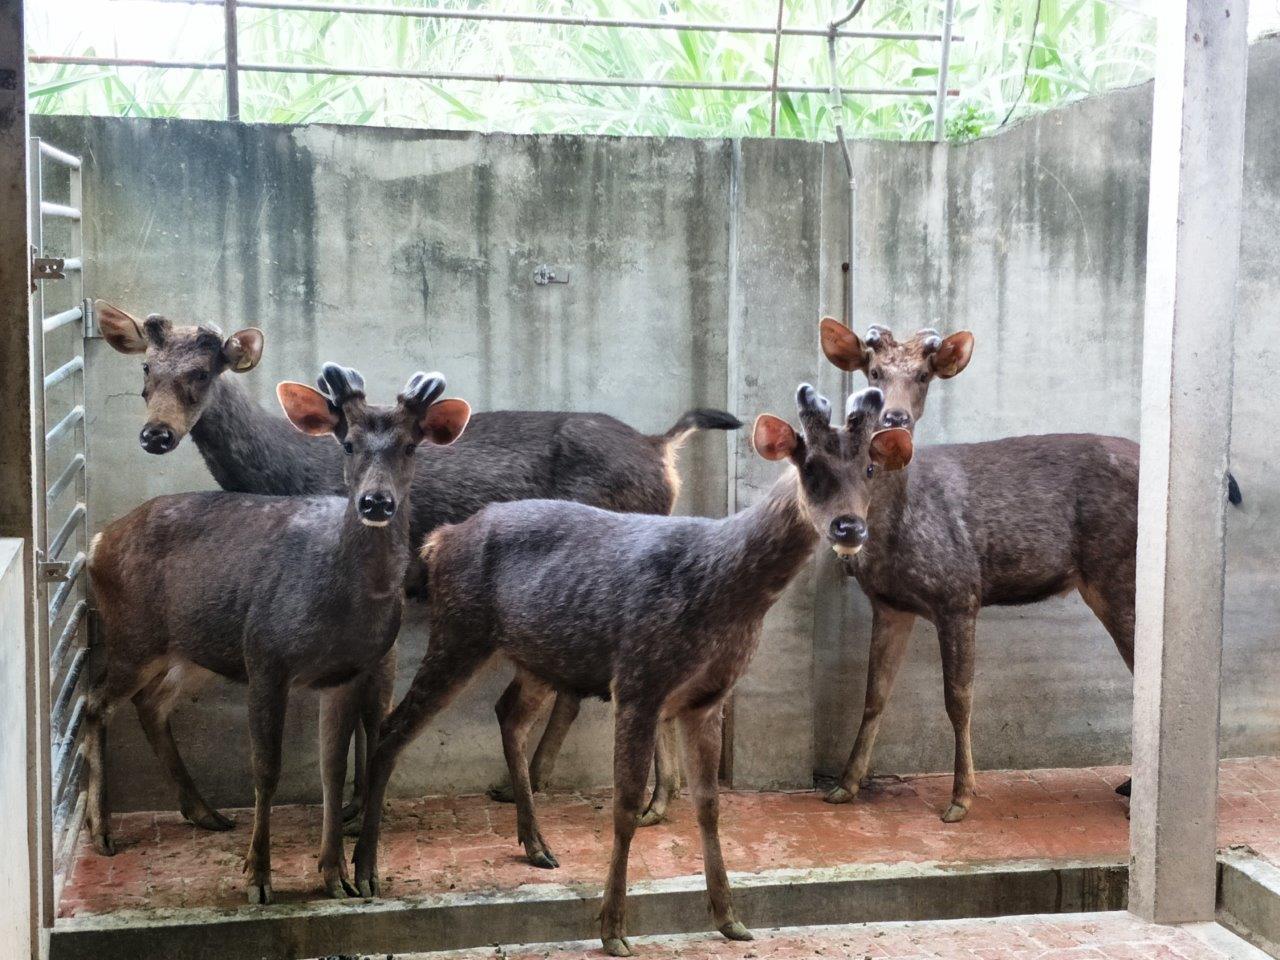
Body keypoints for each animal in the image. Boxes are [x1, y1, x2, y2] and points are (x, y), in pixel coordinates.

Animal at [82, 366, 471, 901]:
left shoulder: (344, 673)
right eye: (347, 443)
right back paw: (101, 830)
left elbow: (332, 769)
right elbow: (266, 769)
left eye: (411, 445)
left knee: (151, 703)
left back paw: (204, 812)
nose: (376, 501)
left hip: (194, 650)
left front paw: (337, 875)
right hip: (132, 633)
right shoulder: (267, 655)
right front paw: (259, 878)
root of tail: (98, 542)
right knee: (94, 702)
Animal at [92, 304, 742, 829]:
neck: (289, 469)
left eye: (202, 373)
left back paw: (656, 801)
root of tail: (662, 450)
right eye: (145, 371)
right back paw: (536, 784)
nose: (156, 434)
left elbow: (370, 705)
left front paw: (356, 807)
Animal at [345, 384, 916, 957]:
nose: (849, 528)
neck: (725, 590)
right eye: (810, 466)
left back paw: (535, 844)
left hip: (537, 652)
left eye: (869, 468)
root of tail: (438, 541)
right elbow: (624, 806)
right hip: (460, 631)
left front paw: (729, 918)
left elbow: (709, 805)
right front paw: (614, 928)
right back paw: (365, 870)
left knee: (507, 713)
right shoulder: (639, 680)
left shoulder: (707, 697)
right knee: (394, 727)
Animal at [819, 320, 1239, 824]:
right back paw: (1131, 787)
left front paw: (960, 798)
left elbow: (958, 698)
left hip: (1118, 572)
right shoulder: (889, 604)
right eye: (874, 372)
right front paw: (845, 786)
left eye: (923, 375)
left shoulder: (959, 592)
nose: (894, 418)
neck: (898, 527)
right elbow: (874, 695)